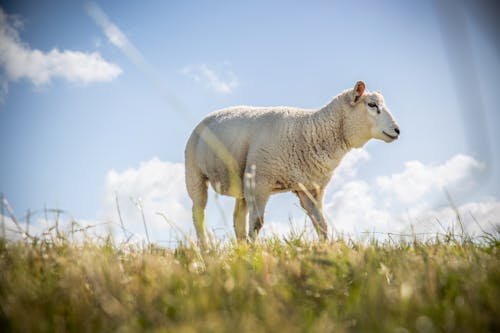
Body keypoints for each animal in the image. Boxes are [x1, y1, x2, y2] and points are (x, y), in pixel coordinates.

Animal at [184, 79, 398, 243]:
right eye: (372, 105)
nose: (397, 130)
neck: (312, 131)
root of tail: (207, 117)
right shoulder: (261, 182)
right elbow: (257, 223)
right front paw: (254, 254)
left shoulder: (310, 189)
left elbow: (321, 225)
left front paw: (327, 250)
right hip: (195, 175)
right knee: (198, 216)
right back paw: (206, 250)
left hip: (242, 183)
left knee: (237, 221)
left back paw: (240, 249)